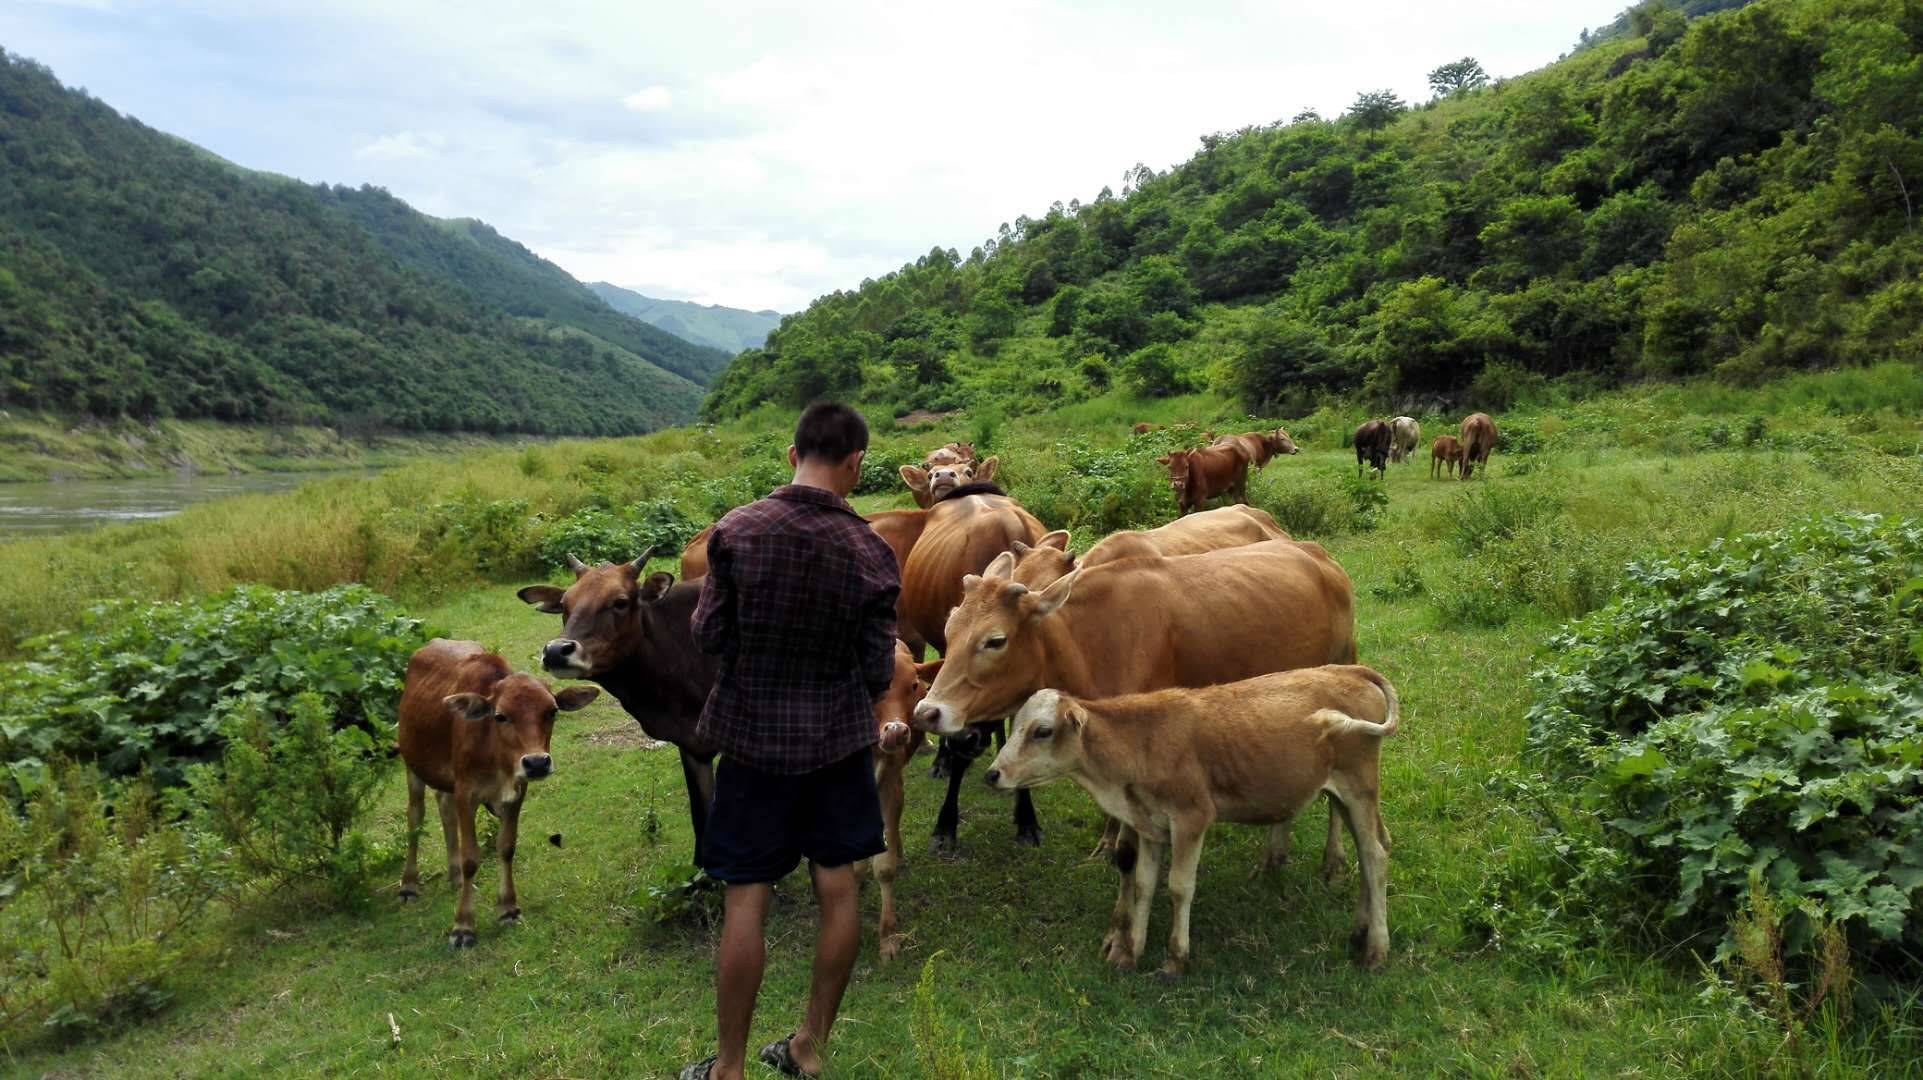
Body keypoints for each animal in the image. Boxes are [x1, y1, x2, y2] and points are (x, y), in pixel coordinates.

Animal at [394, 638, 596, 941]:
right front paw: (463, 925)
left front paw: (508, 908)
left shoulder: (516, 792)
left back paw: (454, 877)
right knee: (415, 817)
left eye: (552, 711)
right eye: (500, 716)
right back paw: (409, 885)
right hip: (412, 765)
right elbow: (471, 857)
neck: (494, 752)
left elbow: (506, 847)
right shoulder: (466, 792)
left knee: (445, 808)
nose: (537, 763)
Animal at [911, 538, 1353, 857]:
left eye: (995, 640)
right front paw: (1108, 841)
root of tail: (1316, 554)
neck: (1090, 643)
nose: (928, 712)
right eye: (949, 631)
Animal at [992, 664, 1399, 976]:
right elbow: (1143, 886)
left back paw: (1376, 949)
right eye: (1013, 728)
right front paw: (1130, 952)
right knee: (1372, 851)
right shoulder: (1150, 824)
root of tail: (1349, 669)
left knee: (1375, 857)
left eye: (1042, 731)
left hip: (1359, 789)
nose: (993, 773)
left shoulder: (1191, 818)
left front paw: (1175, 959)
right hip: (1343, 796)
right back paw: (1360, 931)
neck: (1142, 741)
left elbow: (1179, 887)